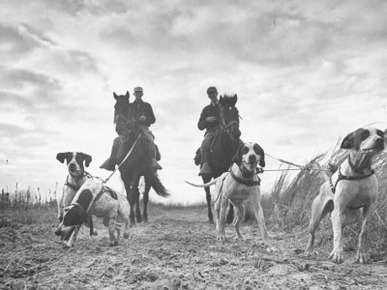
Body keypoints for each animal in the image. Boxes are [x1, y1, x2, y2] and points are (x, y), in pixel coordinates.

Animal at [113, 92, 169, 224]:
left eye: (127, 107)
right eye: (115, 107)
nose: (120, 128)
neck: (130, 146)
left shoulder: (136, 173)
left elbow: (132, 196)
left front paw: (132, 218)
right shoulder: (124, 174)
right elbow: (131, 195)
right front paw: (131, 217)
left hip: (148, 175)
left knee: (145, 196)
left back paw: (144, 217)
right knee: (138, 194)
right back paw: (138, 216)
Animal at [202, 94, 241, 223]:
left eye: (237, 112)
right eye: (223, 113)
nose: (236, 133)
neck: (224, 148)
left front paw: (229, 217)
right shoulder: (217, 173)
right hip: (206, 176)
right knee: (208, 195)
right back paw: (211, 217)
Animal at [306, 128, 384, 264]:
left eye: (380, 133)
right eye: (364, 134)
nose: (381, 140)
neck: (359, 171)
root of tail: (326, 182)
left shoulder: (369, 208)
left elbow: (363, 232)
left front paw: (362, 254)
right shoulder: (337, 210)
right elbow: (337, 235)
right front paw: (337, 253)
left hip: (352, 216)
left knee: (341, 228)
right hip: (317, 218)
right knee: (313, 233)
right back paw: (310, 251)